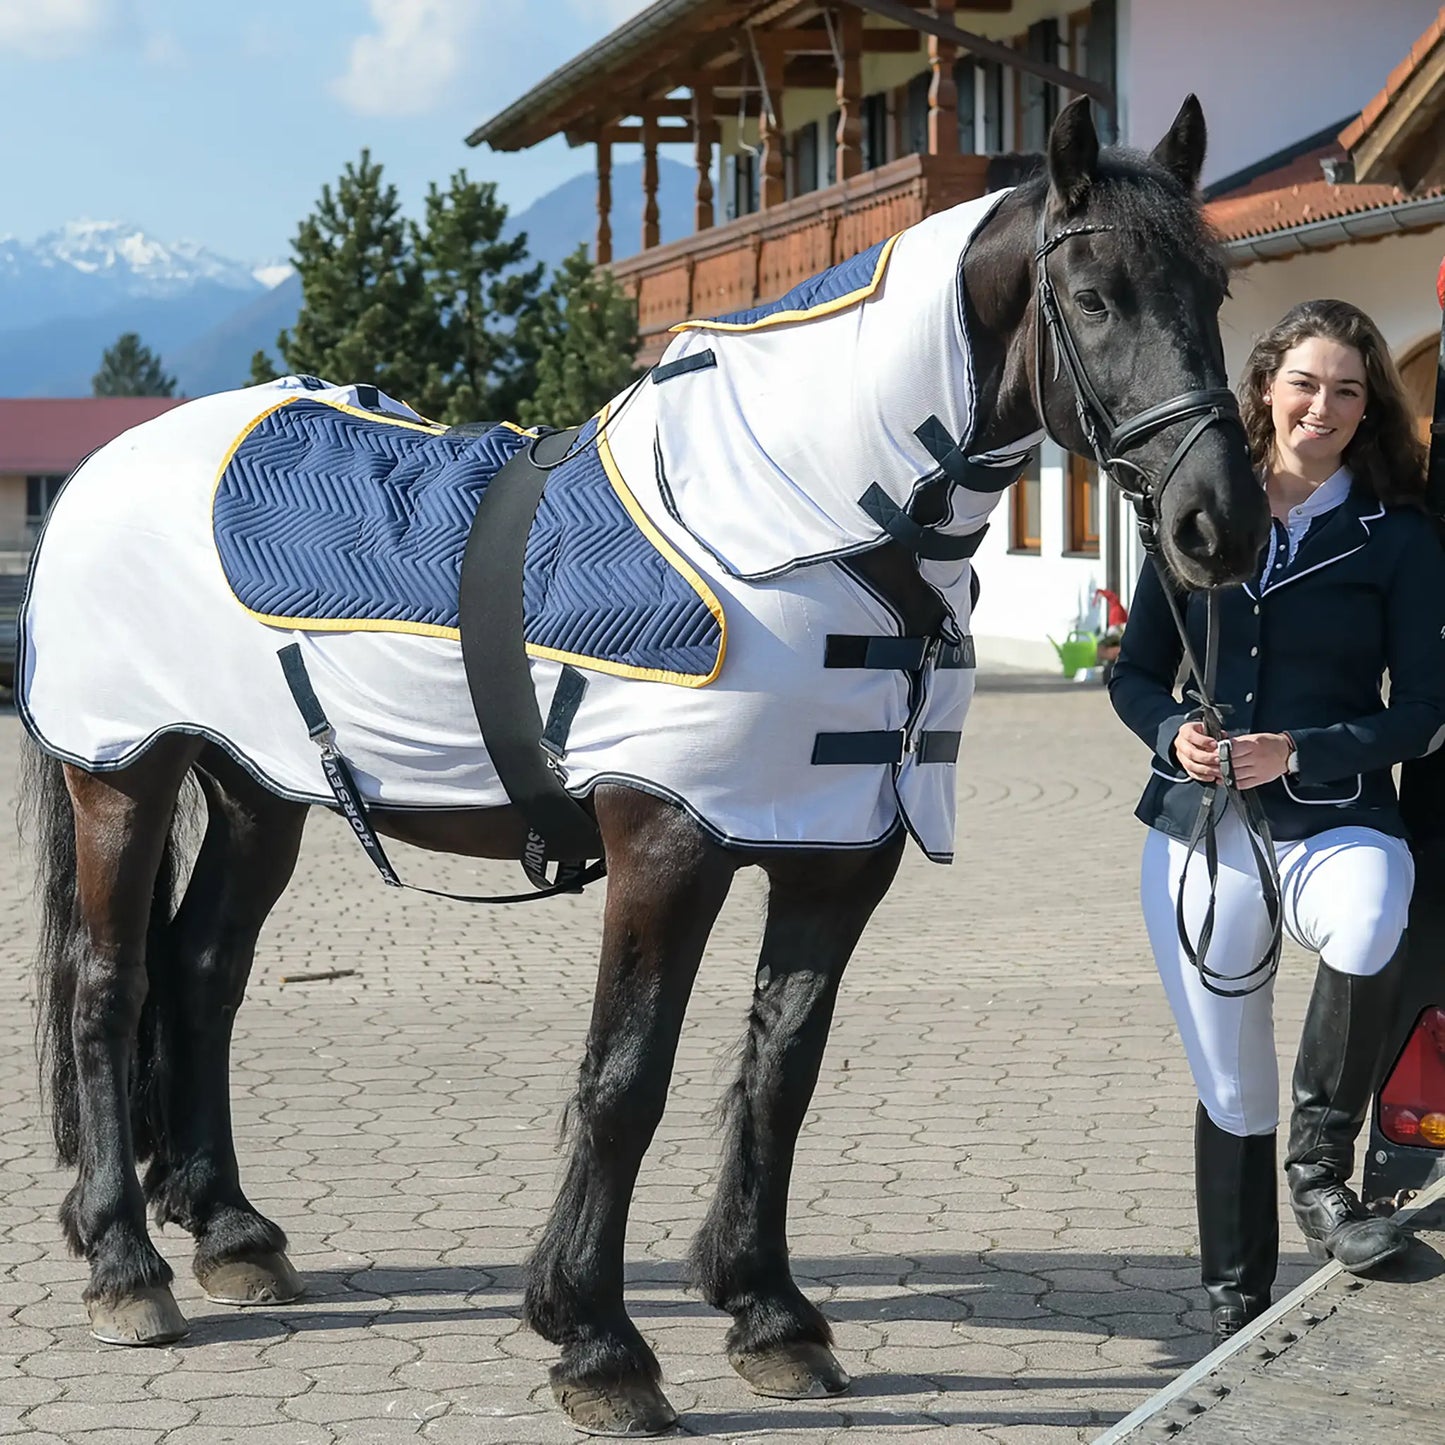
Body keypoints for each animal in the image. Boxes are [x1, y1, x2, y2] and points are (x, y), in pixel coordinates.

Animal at [16, 97, 1269, 1437]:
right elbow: (626, 1077)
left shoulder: (838, 856)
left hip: (260, 793)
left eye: (1214, 286)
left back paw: (231, 1232)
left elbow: (780, 1073)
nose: (1218, 525)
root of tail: (101, 472)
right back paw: (125, 1263)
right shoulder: (665, 842)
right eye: (1091, 295)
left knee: (203, 970)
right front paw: (596, 1340)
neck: (805, 526)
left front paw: (768, 1313)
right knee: (108, 988)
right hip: (127, 777)